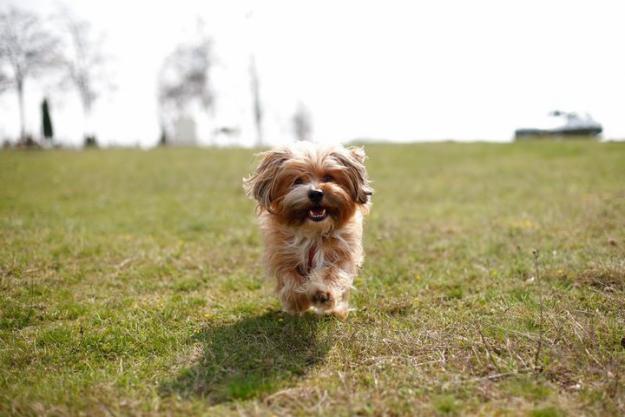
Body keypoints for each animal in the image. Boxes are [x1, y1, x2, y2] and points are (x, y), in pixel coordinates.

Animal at [243, 141, 370, 316]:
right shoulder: (282, 255)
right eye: (297, 181)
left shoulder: (341, 253)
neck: (312, 233)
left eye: (329, 177)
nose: (316, 193)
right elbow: (290, 278)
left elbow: (332, 272)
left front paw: (324, 293)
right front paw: (298, 299)